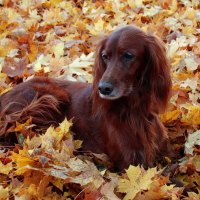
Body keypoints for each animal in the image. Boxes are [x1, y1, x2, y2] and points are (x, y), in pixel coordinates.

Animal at [0, 25, 172, 171]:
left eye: (128, 55)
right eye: (105, 56)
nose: (103, 88)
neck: (135, 109)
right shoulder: (129, 163)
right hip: (50, 97)